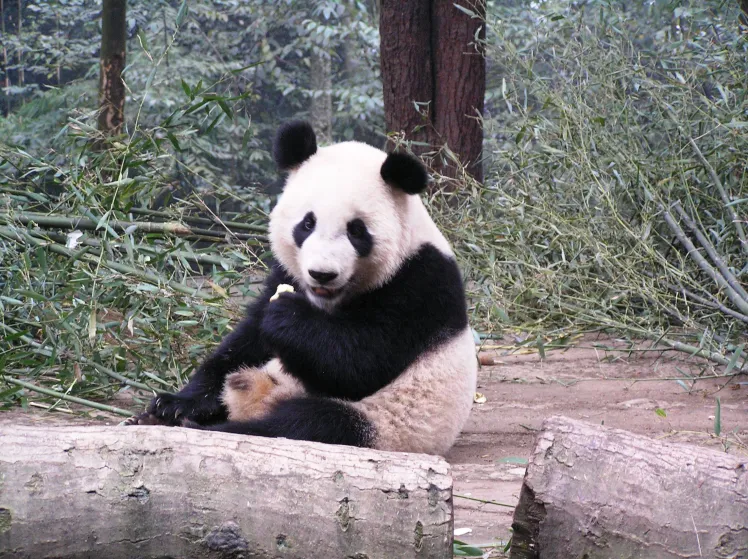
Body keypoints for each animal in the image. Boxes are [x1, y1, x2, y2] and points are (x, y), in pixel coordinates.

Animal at [122, 120, 474, 458]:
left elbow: (361, 363)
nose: (322, 274)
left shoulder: (420, 284)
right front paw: (174, 404)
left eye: (356, 231)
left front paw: (287, 316)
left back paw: (211, 428)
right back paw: (159, 418)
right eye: (307, 223)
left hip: (386, 424)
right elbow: (246, 341)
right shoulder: (287, 272)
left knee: (307, 424)